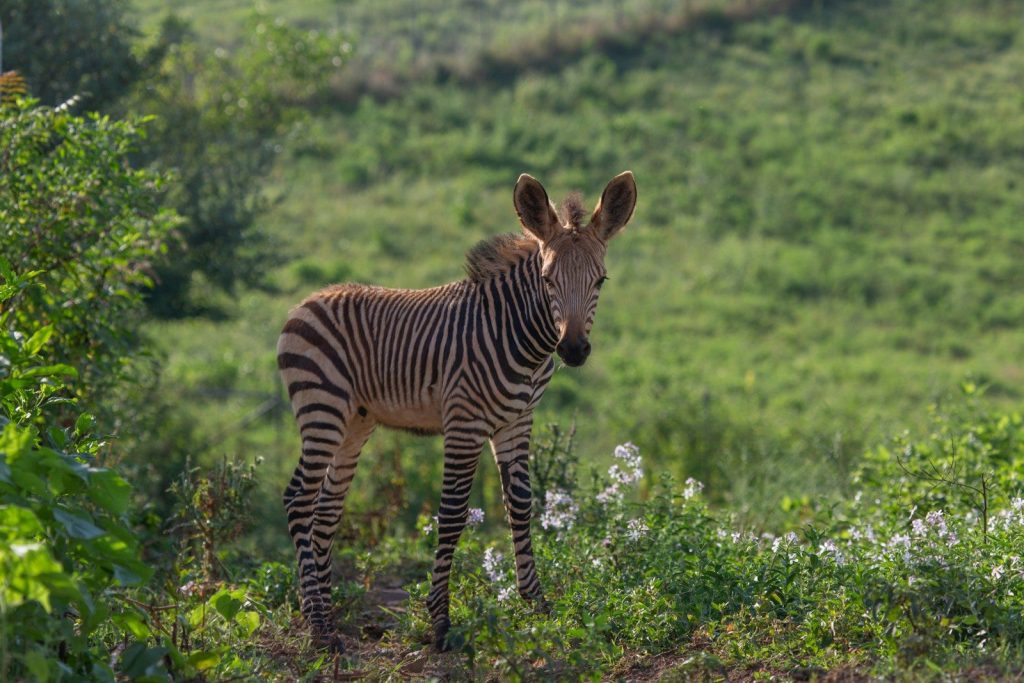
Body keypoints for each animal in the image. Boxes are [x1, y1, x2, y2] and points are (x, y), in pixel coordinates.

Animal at [277, 171, 637, 652]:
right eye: (547, 279)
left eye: (601, 281)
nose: (574, 351)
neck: (519, 338)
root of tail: (305, 302)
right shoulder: (465, 422)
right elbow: (451, 514)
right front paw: (440, 622)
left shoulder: (517, 421)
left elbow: (520, 503)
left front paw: (536, 604)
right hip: (323, 407)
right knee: (300, 501)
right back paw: (319, 628)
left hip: (354, 421)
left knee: (325, 510)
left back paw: (326, 616)